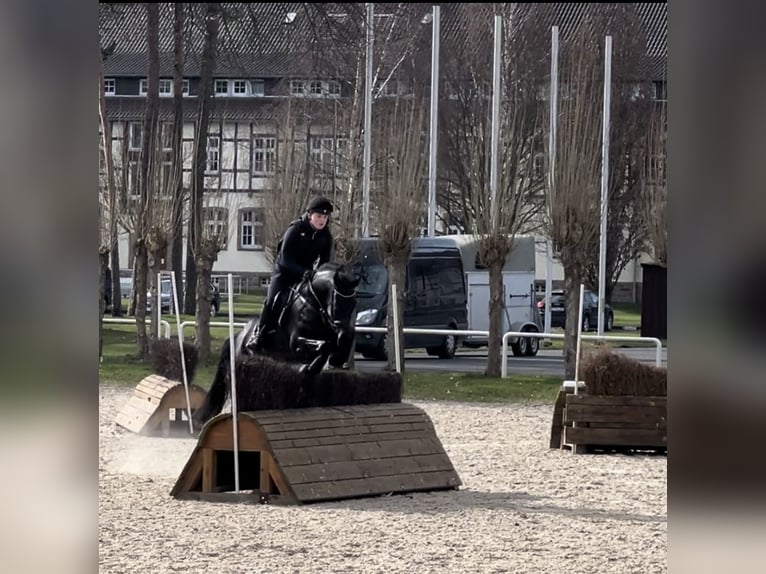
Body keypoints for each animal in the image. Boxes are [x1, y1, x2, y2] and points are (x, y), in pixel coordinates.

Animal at [192, 264, 360, 430]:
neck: (313, 303)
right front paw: (312, 366)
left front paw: (332, 360)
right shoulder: (296, 343)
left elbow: (334, 344)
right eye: (338, 302)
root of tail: (237, 336)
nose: (344, 333)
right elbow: (325, 345)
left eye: (353, 303)